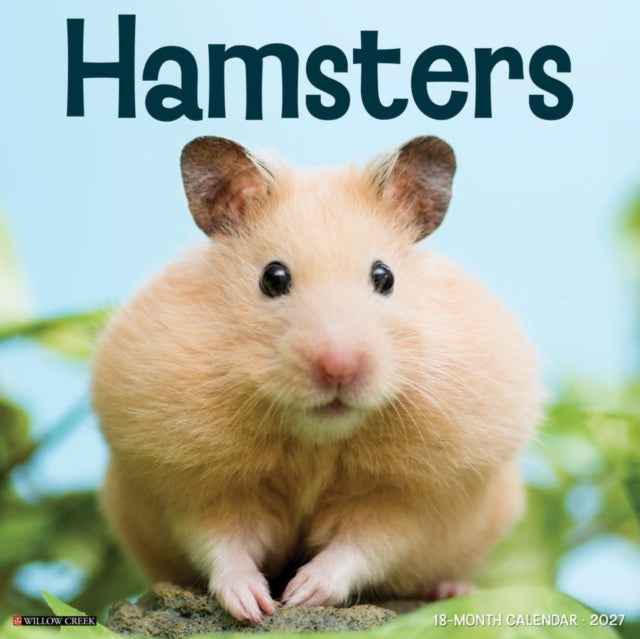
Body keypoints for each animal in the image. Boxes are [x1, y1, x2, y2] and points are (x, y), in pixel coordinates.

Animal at [92, 135, 544, 623]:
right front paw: (254, 606)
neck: (316, 441)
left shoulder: (407, 502)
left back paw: (451, 589)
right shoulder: (197, 487)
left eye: (384, 277)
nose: (339, 368)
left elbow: (364, 547)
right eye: (273, 278)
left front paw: (301, 594)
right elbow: (221, 543)